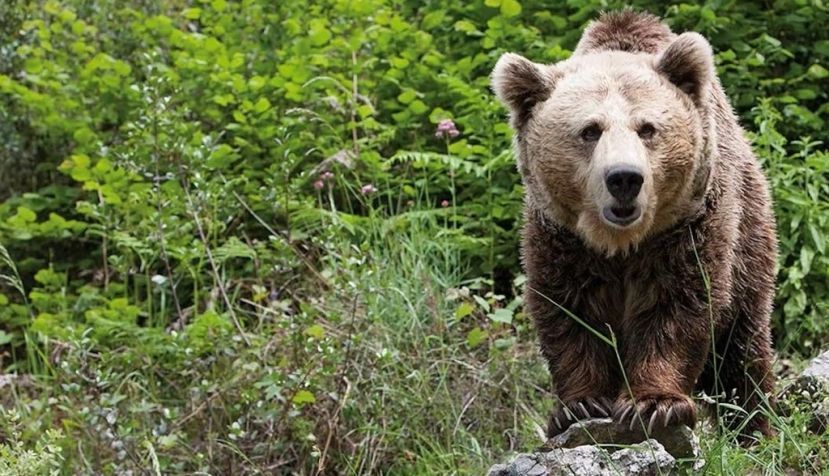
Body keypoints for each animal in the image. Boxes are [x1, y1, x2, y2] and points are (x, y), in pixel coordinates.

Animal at [491, 11, 777, 442]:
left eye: (647, 128)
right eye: (590, 130)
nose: (624, 178)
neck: (621, 243)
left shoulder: (688, 227)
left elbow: (679, 305)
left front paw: (655, 403)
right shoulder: (561, 238)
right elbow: (569, 312)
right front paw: (580, 405)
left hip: (750, 234)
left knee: (741, 349)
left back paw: (754, 427)